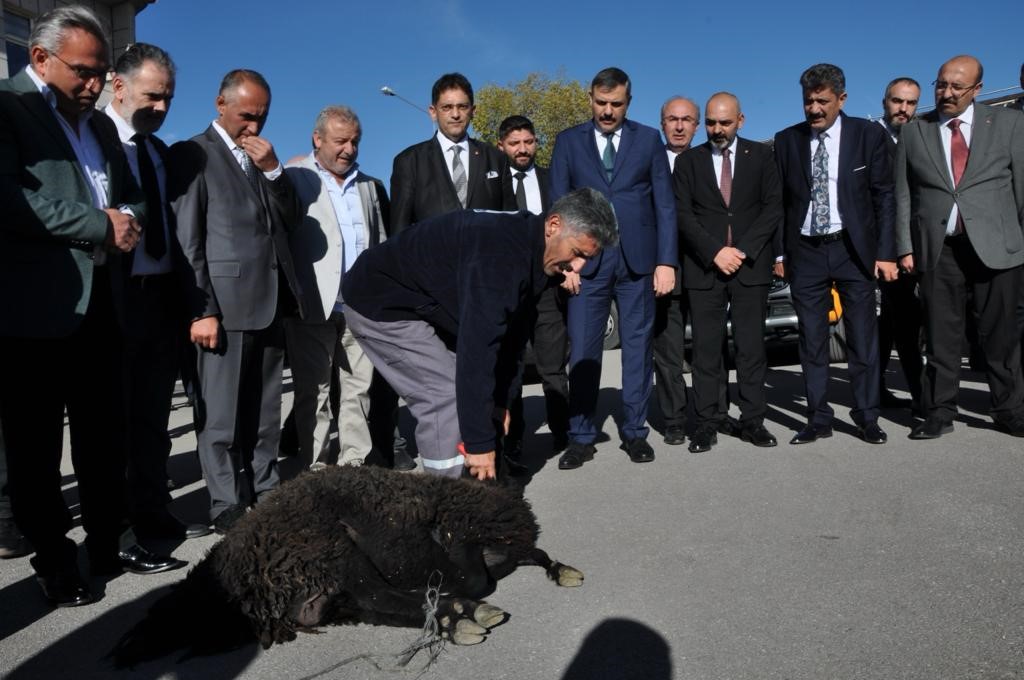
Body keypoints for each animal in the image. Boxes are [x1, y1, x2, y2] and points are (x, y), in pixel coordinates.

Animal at [112, 464, 585, 667]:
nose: (123, 653)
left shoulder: (335, 564)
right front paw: (458, 614)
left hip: (341, 559)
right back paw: (467, 610)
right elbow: (398, 603)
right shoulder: (333, 594)